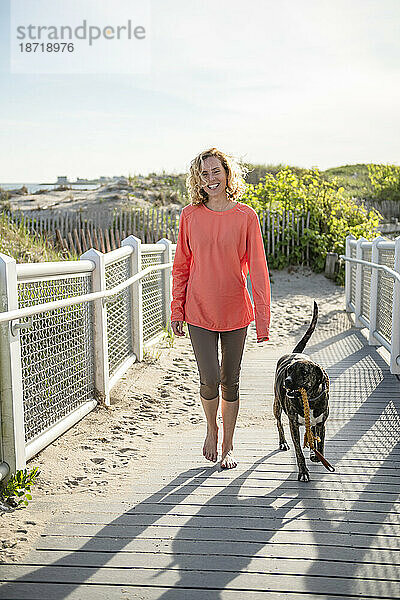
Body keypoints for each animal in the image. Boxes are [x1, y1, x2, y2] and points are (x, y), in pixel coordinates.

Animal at [274, 302, 330, 480]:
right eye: (289, 371)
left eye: (304, 372)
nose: (286, 381)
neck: (310, 400)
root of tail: (295, 353)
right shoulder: (293, 426)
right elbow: (298, 451)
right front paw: (303, 472)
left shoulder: (321, 423)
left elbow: (320, 442)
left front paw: (317, 454)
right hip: (277, 406)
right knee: (278, 423)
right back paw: (283, 442)